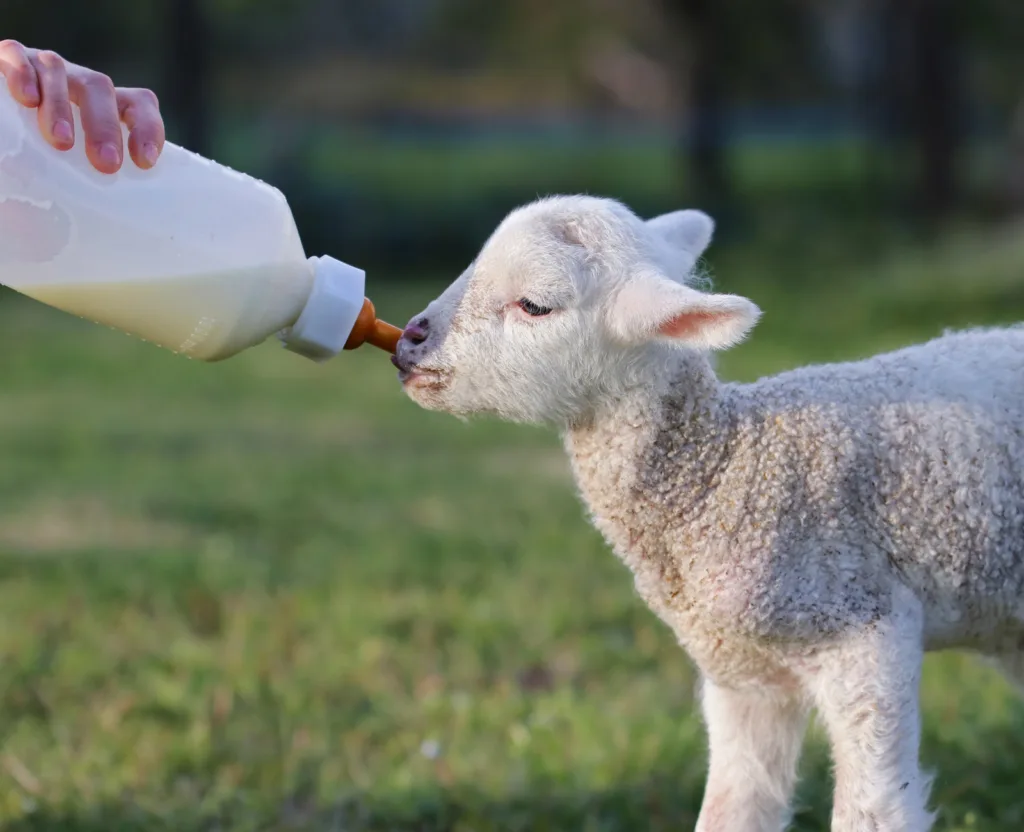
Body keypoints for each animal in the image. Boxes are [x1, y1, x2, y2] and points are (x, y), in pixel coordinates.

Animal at [387, 191, 1024, 827]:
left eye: (534, 305)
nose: (410, 339)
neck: (728, 471)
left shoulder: (868, 633)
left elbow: (871, 812)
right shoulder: (742, 672)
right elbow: (731, 808)